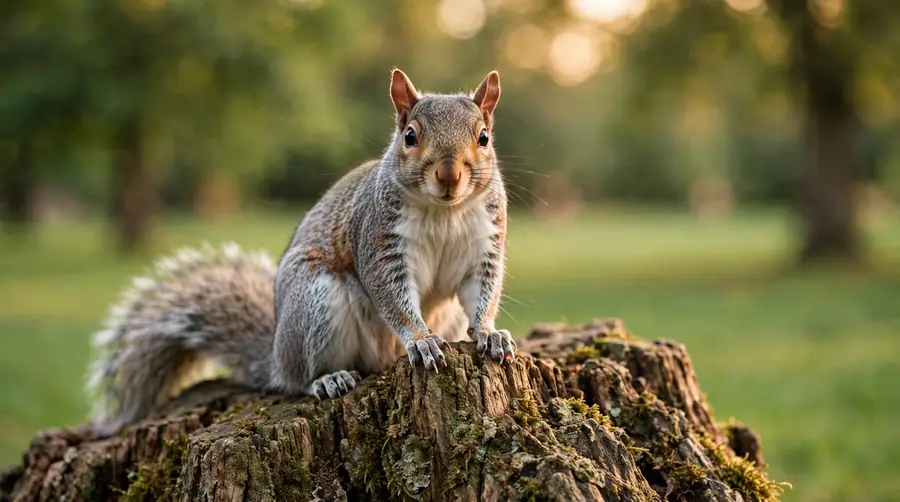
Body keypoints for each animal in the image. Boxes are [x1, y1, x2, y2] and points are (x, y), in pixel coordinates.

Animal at [85, 69, 516, 437]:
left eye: (483, 138)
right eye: (410, 136)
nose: (449, 175)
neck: (445, 212)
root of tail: (276, 356)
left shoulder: (485, 246)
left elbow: (483, 291)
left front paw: (489, 333)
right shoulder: (378, 242)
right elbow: (393, 297)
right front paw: (421, 340)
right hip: (315, 301)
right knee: (299, 379)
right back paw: (328, 379)